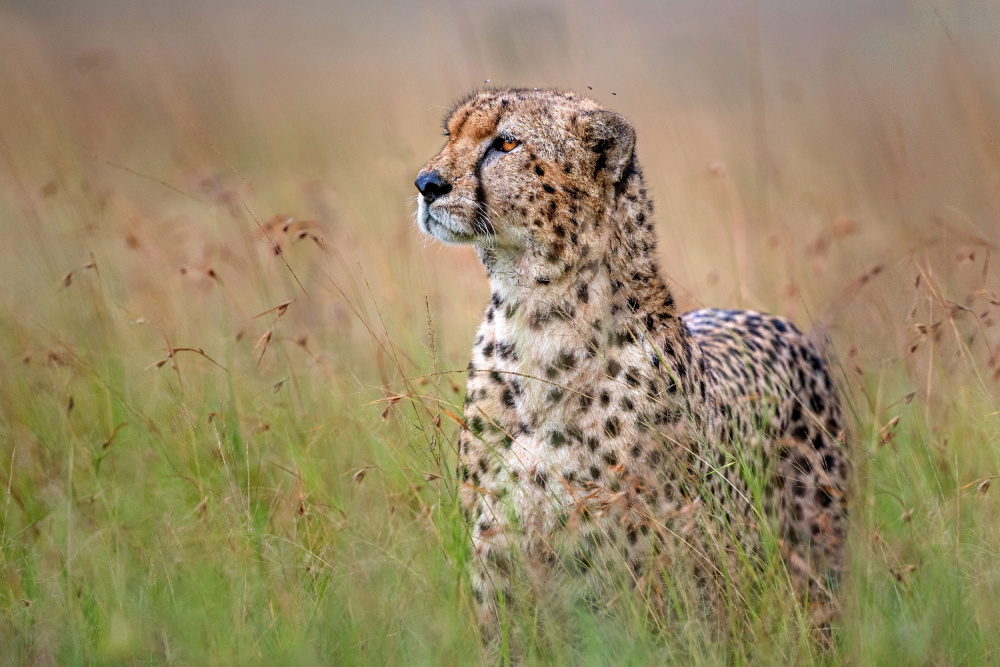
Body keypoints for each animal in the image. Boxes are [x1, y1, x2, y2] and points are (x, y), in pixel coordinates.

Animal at [410, 90, 848, 636]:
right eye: (451, 134)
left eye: (506, 143)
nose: (427, 184)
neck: (537, 318)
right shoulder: (498, 562)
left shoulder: (634, 574)